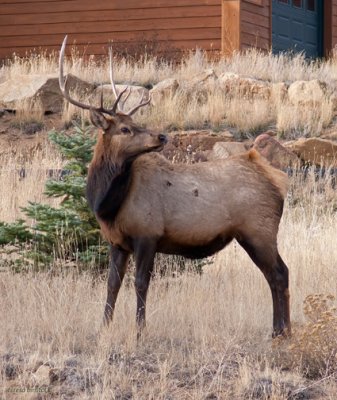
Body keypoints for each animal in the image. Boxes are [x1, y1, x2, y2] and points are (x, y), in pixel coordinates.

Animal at [58, 36, 288, 338]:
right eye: (125, 129)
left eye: (134, 122)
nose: (161, 136)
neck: (107, 204)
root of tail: (279, 182)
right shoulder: (116, 242)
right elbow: (112, 284)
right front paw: (104, 328)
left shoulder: (148, 234)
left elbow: (140, 283)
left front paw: (140, 331)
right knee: (278, 274)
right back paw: (281, 330)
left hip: (258, 230)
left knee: (278, 274)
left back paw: (280, 331)